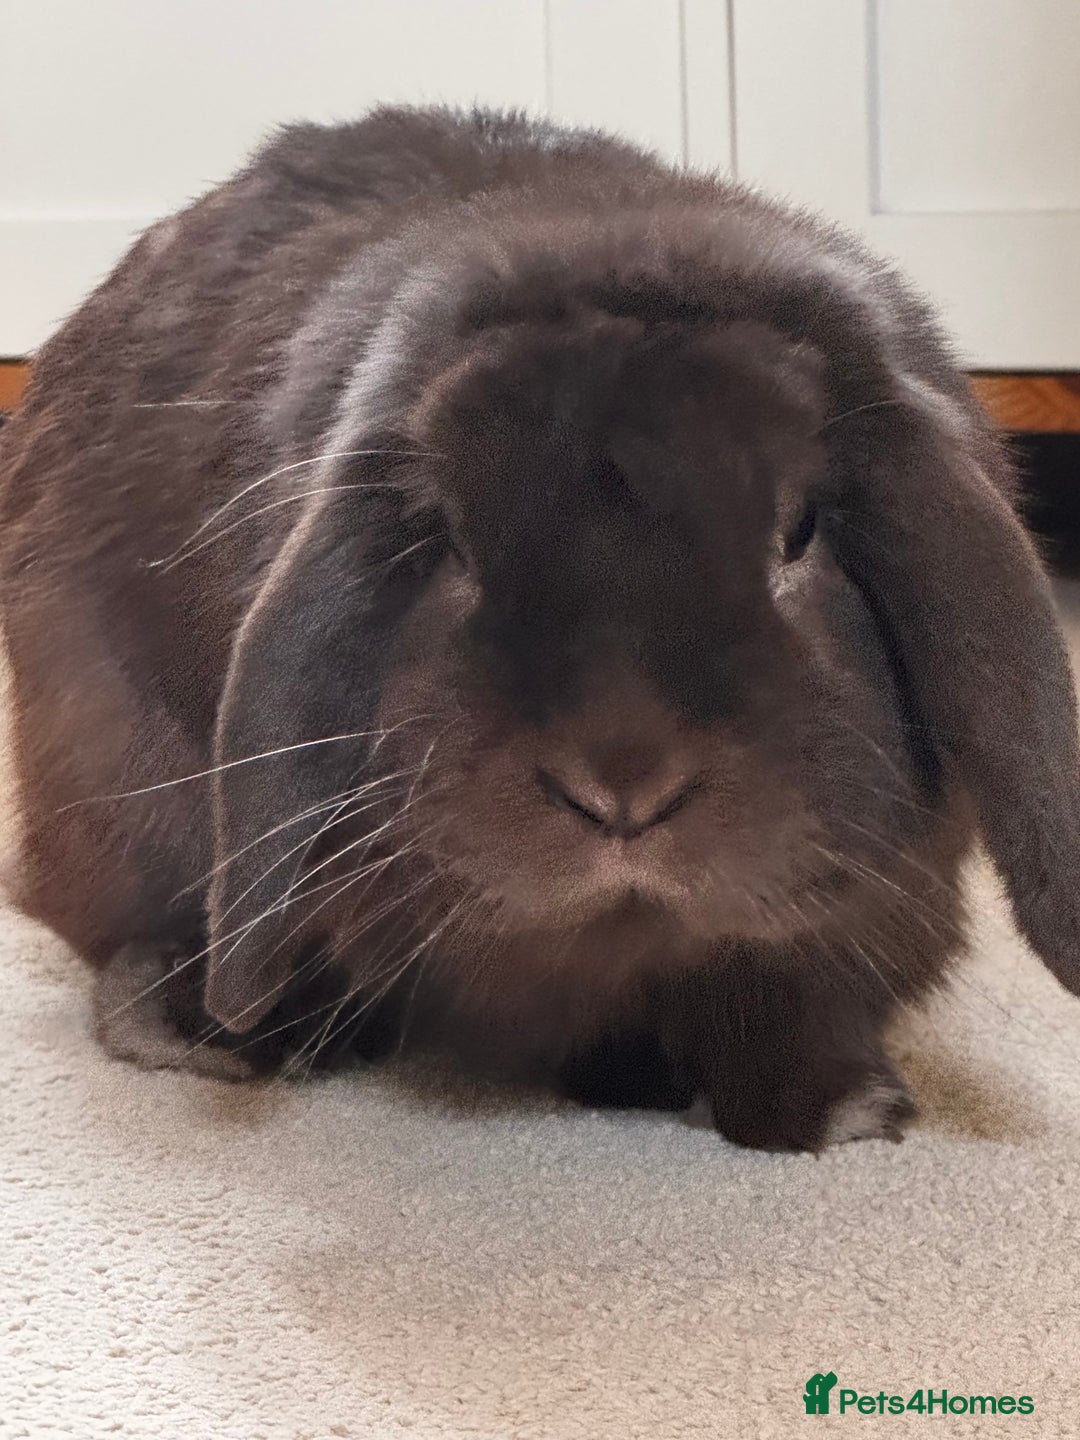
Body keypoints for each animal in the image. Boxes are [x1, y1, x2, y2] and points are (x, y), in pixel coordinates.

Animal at [1, 104, 1078, 1152]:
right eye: (454, 541)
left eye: (801, 529)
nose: (623, 788)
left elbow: (779, 999)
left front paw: (837, 1110)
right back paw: (209, 1032)